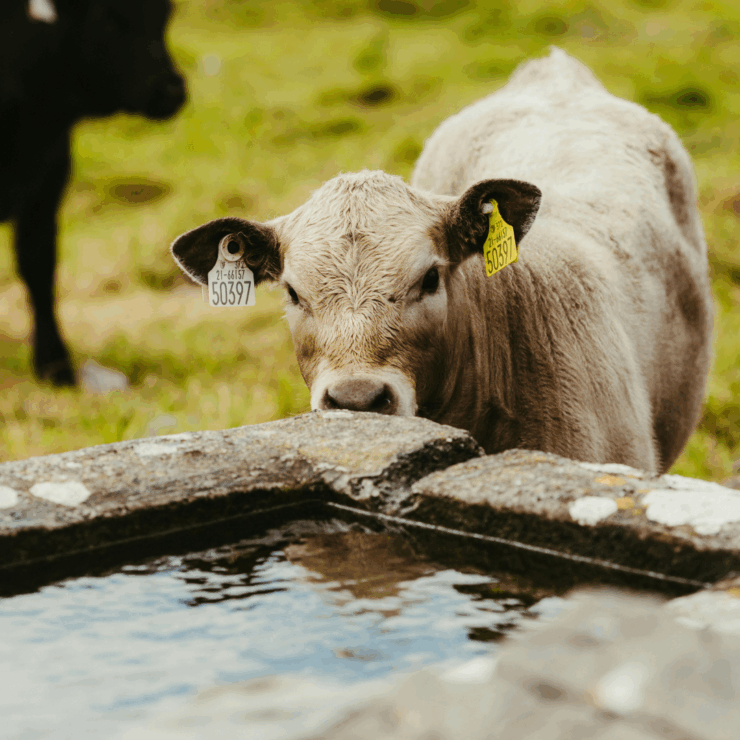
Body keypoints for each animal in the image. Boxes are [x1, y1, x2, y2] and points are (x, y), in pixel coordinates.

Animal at [0, 0, 186, 386]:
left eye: (166, 13)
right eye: (107, 20)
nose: (171, 90)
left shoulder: (48, 178)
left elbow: (38, 266)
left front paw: (55, 366)